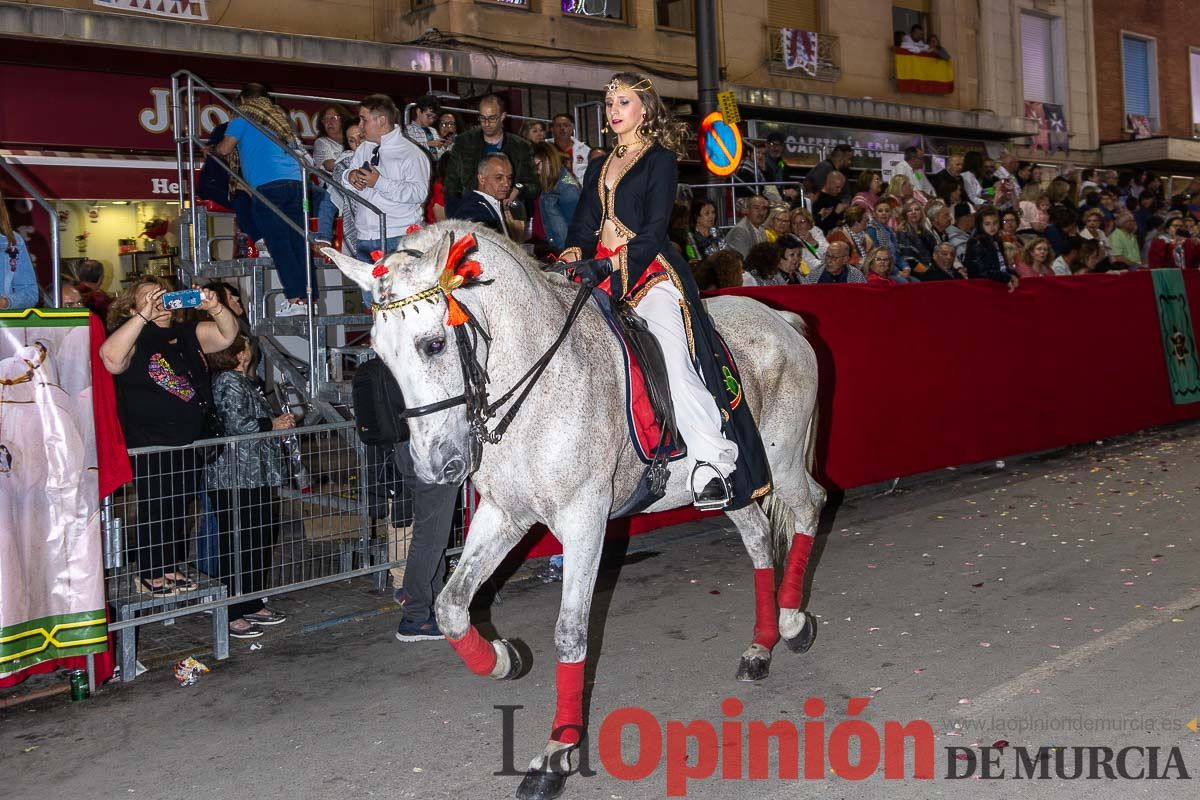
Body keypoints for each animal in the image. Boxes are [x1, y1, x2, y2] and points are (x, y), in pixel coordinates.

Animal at [326, 220, 825, 800]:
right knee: (760, 539)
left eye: (433, 344)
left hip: (782, 463)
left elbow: (570, 632)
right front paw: (503, 659)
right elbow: (450, 606)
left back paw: (793, 624)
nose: (435, 467)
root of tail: (781, 319)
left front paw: (554, 755)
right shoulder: (504, 514)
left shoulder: (584, 519)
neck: (537, 380)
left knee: (811, 509)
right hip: (736, 486)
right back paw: (760, 648)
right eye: (380, 354)